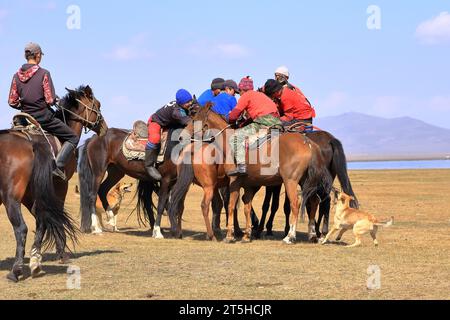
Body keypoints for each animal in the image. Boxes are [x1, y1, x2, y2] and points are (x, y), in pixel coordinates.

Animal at [0, 85, 106, 282]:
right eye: (97, 105)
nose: (103, 127)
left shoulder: (33, 192)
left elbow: (43, 218)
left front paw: (38, 256)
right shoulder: (60, 185)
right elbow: (53, 215)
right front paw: (61, 251)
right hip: (10, 197)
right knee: (22, 228)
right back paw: (17, 270)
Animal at [171, 104, 332, 242]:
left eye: (194, 120)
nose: (181, 137)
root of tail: (308, 143)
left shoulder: (234, 182)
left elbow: (231, 206)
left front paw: (230, 236)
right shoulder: (248, 185)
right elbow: (246, 207)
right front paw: (246, 235)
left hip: (290, 181)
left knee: (296, 204)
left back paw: (290, 236)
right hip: (305, 181)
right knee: (314, 201)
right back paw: (312, 235)